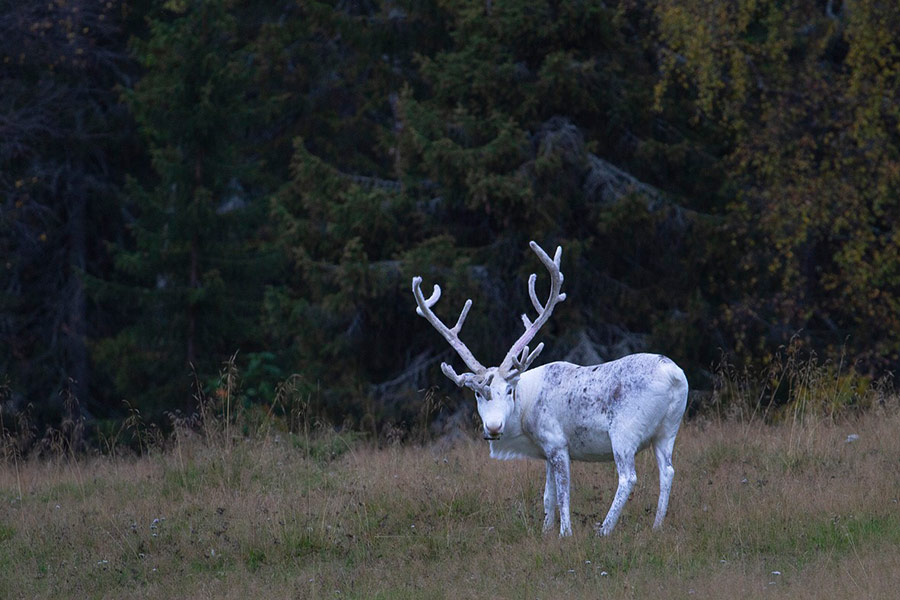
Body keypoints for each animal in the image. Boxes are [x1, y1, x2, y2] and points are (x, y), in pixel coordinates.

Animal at [411, 241, 688, 537]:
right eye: (477, 393)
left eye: (509, 390)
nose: (494, 427)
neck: (524, 419)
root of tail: (674, 375)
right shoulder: (545, 450)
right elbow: (548, 495)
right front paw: (545, 531)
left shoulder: (556, 442)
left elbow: (564, 494)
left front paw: (565, 533)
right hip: (668, 429)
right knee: (668, 470)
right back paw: (657, 526)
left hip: (625, 430)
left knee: (628, 477)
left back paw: (603, 531)